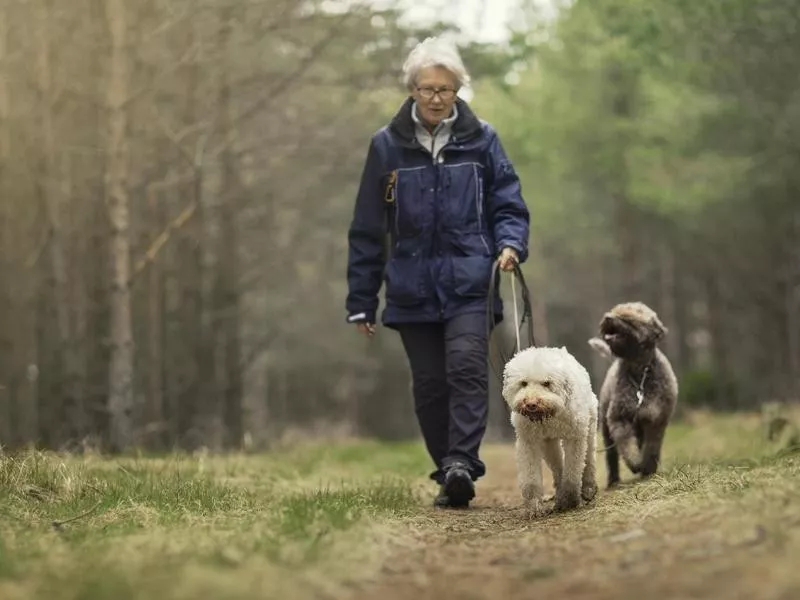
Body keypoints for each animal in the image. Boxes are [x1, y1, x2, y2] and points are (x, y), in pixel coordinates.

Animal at [504, 346, 596, 516]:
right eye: (523, 383)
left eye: (547, 383)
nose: (531, 404)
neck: (549, 415)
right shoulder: (528, 441)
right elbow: (531, 478)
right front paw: (535, 507)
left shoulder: (575, 437)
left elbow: (573, 472)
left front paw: (570, 500)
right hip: (549, 444)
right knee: (558, 466)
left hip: (590, 428)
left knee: (590, 459)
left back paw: (588, 488)